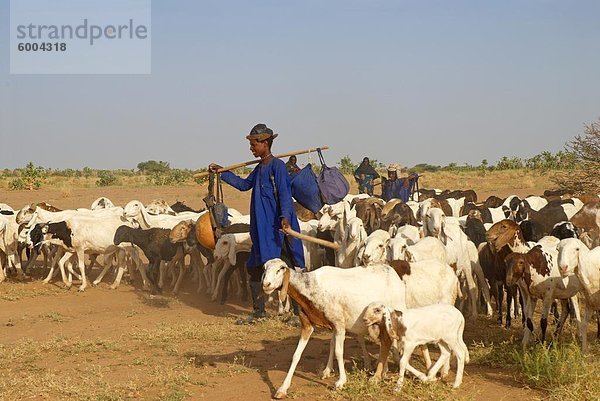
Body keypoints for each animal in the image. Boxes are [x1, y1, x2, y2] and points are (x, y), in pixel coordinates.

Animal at [262, 256, 408, 396]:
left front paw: (341, 381)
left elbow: (339, 352)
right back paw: (382, 371)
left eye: (280, 269)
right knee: (385, 342)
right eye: (264, 268)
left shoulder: (339, 324)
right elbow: (297, 355)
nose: (266, 285)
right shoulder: (309, 325)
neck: (310, 289)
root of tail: (390, 269)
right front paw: (283, 388)